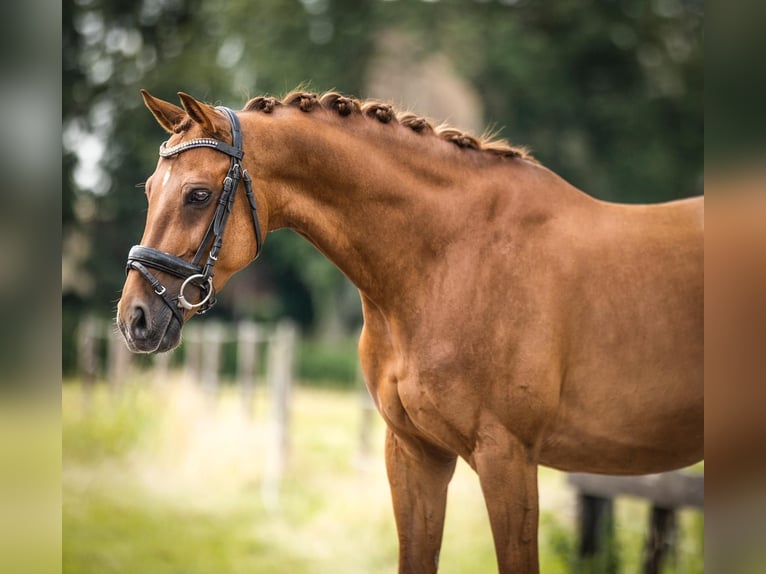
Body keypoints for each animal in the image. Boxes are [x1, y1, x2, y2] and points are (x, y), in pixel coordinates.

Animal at [117, 90, 704, 574]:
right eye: (149, 189)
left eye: (197, 194)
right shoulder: (414, 454)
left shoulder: (508, 458)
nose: (134, 319)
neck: (447, 258)